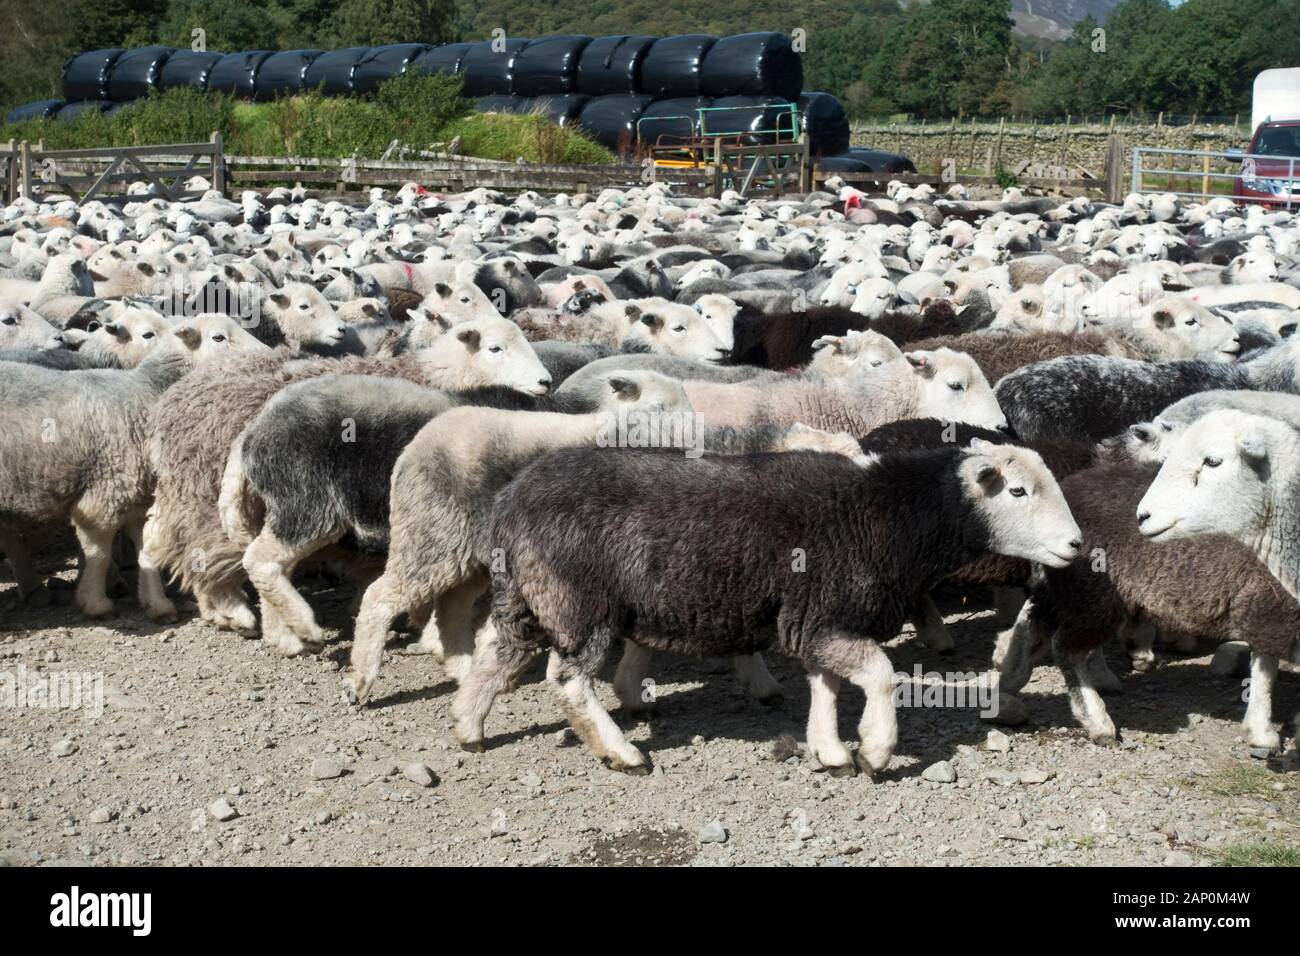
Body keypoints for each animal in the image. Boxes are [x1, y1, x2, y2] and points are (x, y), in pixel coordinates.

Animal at [452, 437, 1081, 775]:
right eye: (1018, 492)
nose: (1076, 545)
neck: (888, 514)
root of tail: (510, 500)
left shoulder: (822, 618)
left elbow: (826, 683)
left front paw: (830, 750)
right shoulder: (829, 615)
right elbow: (879, 675)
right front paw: (876, 750)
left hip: (528, 594)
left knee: (495, 652)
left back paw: (467, 728)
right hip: (578, 601)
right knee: (566, 679)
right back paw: (621, 752)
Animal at [993, 463, 1300, 754]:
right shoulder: (1271, 606)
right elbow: (1266, 671)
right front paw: (1263, 733)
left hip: (1067, 587)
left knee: (1036, 619)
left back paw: (1010, 678)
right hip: (1095, 594)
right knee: (1066, 647)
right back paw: (1098, 721)